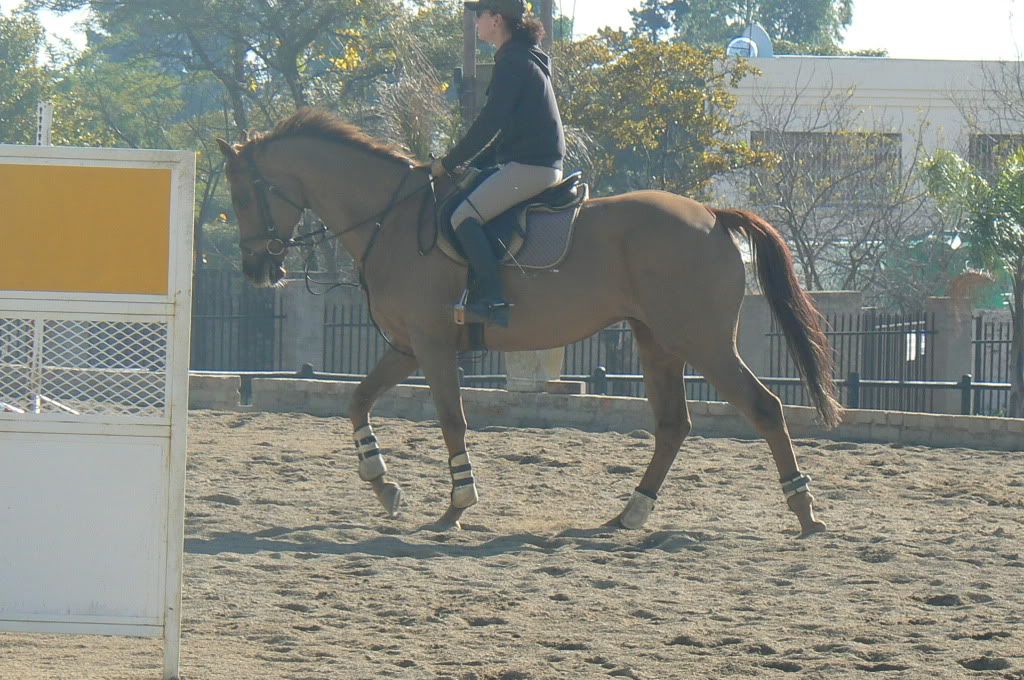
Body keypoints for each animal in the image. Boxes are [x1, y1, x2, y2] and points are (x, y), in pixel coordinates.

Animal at [217, 108, 842, 538]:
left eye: (244, 196)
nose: (256, 270)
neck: (390, 220)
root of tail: (712, 215)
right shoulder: (407, 346)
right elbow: (358, 401)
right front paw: (383, 485)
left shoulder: (432, 345)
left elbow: (451, 419)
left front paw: (457, 505)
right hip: (658, 341)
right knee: (672, 425)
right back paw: (630, 511)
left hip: (703, 341)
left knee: (764, 408)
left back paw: (804, 511)